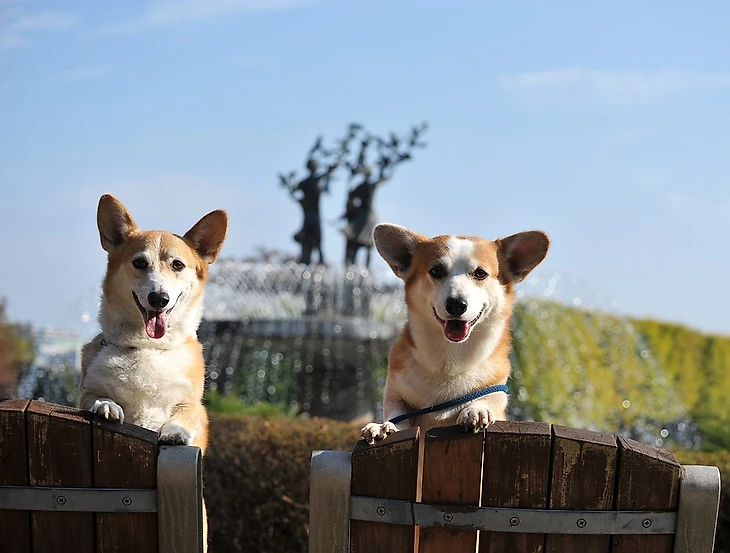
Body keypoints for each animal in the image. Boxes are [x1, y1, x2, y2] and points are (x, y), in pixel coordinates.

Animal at [79, 194, 228, 452]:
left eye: (178, 265)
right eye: (139, 263)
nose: (158, 298)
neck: (148, 346)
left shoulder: (191, 403)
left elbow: (185, 414)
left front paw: (175, 431)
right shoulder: (88, 391)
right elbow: (96, 397)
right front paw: (106, 406)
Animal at [358, 222, 544, 442]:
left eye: (480, 273)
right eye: (436, 270)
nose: (456, 304)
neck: (449, 360)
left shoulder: (497, 388)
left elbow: (492, 398)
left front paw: (476, 410)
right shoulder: (395, 391)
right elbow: (397, 414)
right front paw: (383, 426)